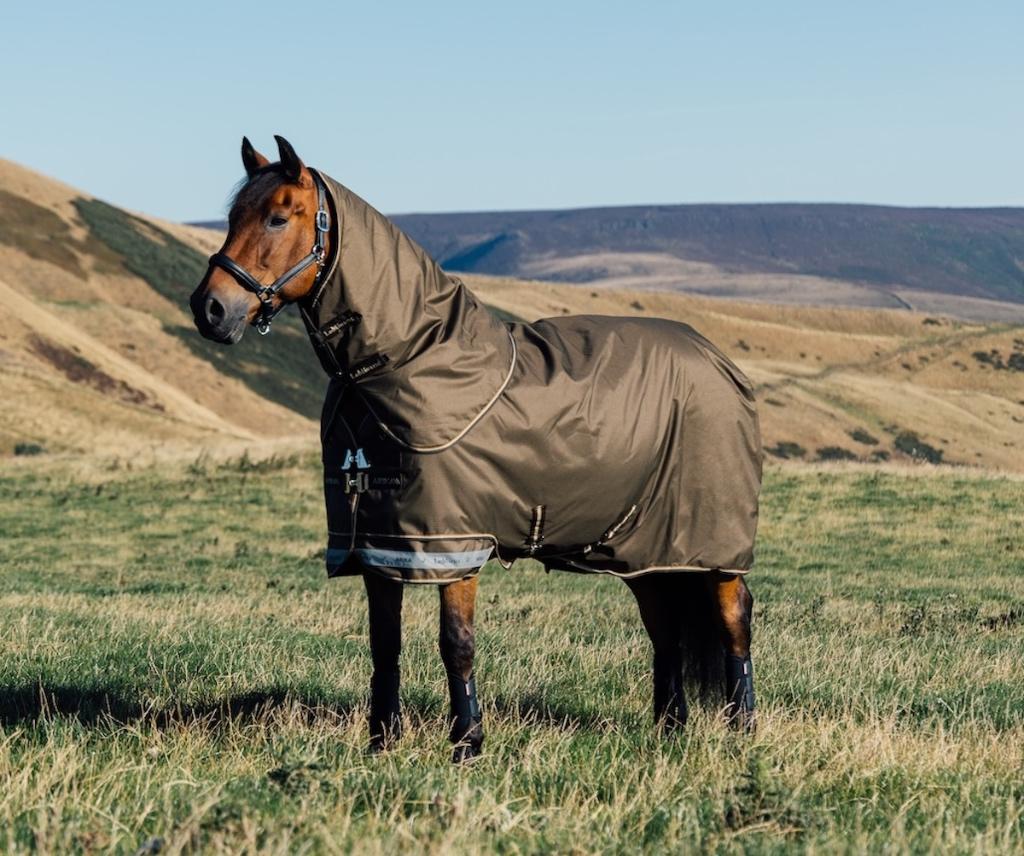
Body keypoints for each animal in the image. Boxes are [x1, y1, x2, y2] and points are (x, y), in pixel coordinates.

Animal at [190, 136, 761, 762]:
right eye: (232, 217)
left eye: (277, 216)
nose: (209, 308)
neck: (410, 357)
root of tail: (717, 360)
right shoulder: (377, 546)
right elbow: (384, 646)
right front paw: (381, 742)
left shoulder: (454, 543)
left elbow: (455, 643)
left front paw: (467, 742)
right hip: (646, 546)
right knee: (665, 627)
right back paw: (670, 727)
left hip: (712, 541)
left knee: (734, 618)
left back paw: (743, 727)